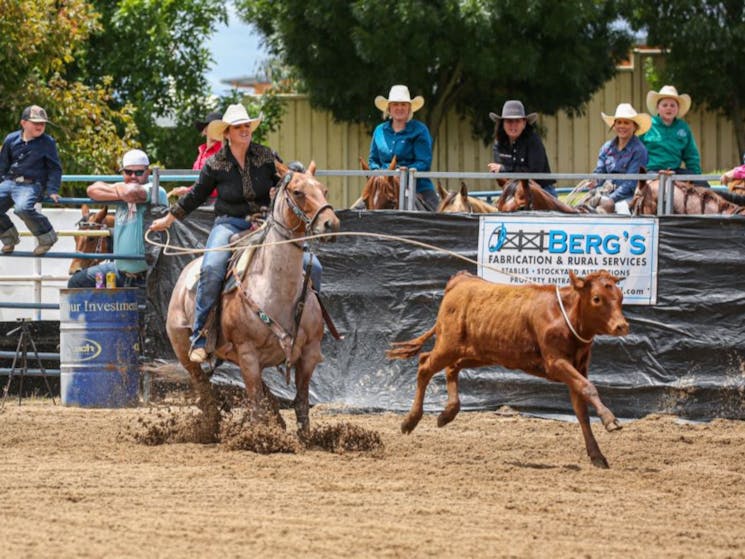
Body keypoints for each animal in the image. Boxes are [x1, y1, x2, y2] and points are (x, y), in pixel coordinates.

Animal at [166, 160, 340, 440]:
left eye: (323, 190)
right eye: (298, 192)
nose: (330, 224)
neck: (276, 290)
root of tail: (184, 277)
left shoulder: (309, 354)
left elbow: (301, 402)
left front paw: (305, 438)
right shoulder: (247, 354)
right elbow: (256, 402)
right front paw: (261, 439)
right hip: (184, 351)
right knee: (204, 388)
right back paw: (210, 426)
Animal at [390, 270, 628, 468]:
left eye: (621, 296)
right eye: (597, 298)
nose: (622, 326)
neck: (564, 316)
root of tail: (461, 281)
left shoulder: (578, 368)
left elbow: (581, 411)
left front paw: (597, 455)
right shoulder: (556, 363)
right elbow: (588, 388)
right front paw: (610, 420)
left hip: (477, 353)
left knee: (452, 368)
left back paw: (447, 413)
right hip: (447, 345)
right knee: (425, 366)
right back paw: (410, 421)